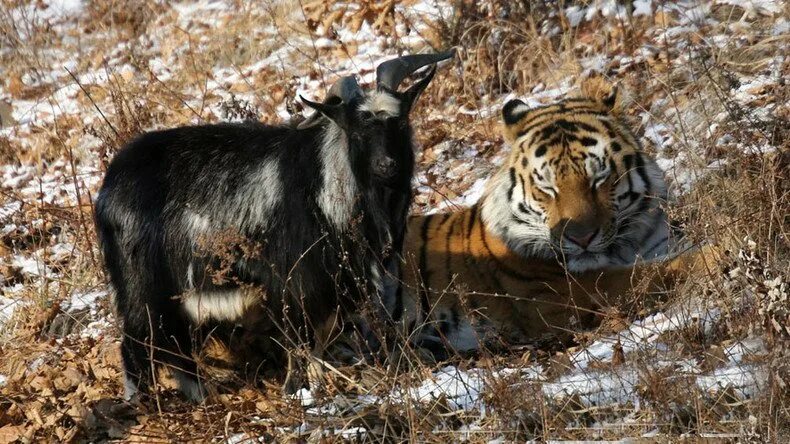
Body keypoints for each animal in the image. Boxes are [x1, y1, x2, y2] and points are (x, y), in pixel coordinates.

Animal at [95, 50, 454, 400]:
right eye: (357, 131)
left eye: (400, 121)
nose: (387, 166)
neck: (326, 182)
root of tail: (109, 188)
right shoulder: (295, 281)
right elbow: (302, 345)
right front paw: (300, 392)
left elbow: (318, 344)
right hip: (143, 287)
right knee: (138, 347)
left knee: (176, 348)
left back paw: (202, 397)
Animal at [392, 75, 716, 354]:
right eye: (547, 188)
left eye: (599, 178)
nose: (581, 238)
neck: (627, 244)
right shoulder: (566, 294)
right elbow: (655, 271)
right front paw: (718, 252)